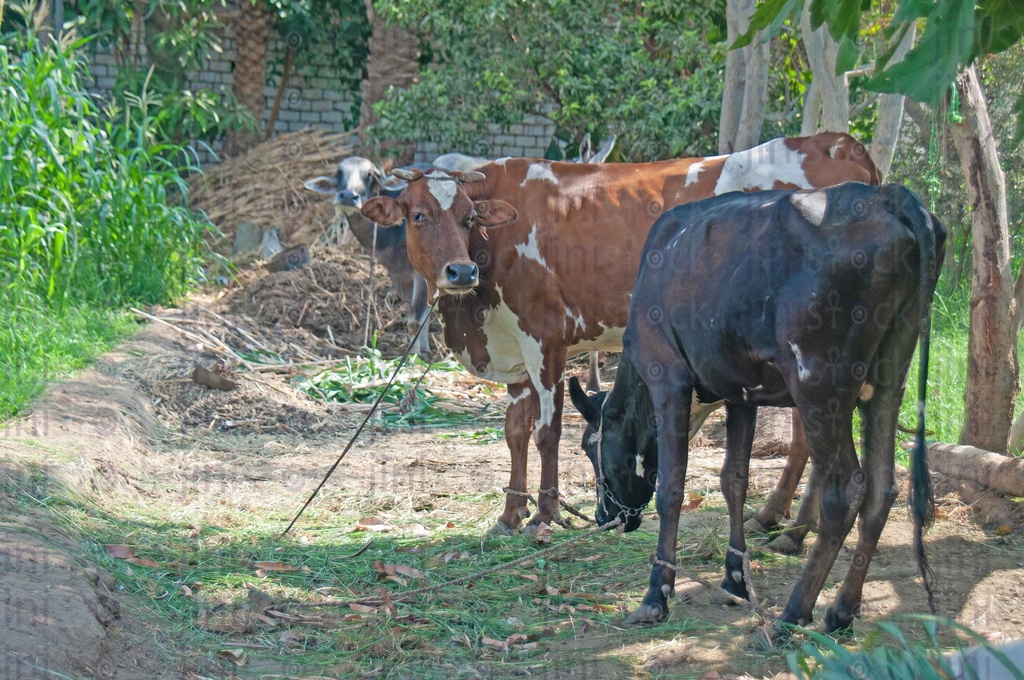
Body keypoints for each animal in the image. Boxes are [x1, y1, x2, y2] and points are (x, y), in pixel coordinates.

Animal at [360, 132, 883, 537]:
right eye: (418, 216)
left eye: (468, 217)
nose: (460, 270)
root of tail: (833, 142)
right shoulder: (514, 351)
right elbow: (515, 432)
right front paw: (510, 514)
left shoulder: (546, 339)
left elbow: (548, 432)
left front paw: (544, 516)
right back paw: (781, 518)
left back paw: (789, 524)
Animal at [568, 183, 944, 642]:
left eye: (590, 450)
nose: (605, 516)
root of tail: (886, 194)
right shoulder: (740, 395)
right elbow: (734, 481)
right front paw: (735, 579)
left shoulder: (668, 378)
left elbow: (670, 488)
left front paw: (657, 594)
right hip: (889, 379)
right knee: (882, 488)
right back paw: (840, 612)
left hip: (819, 384)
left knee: (845, 491)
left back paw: (792, 614)